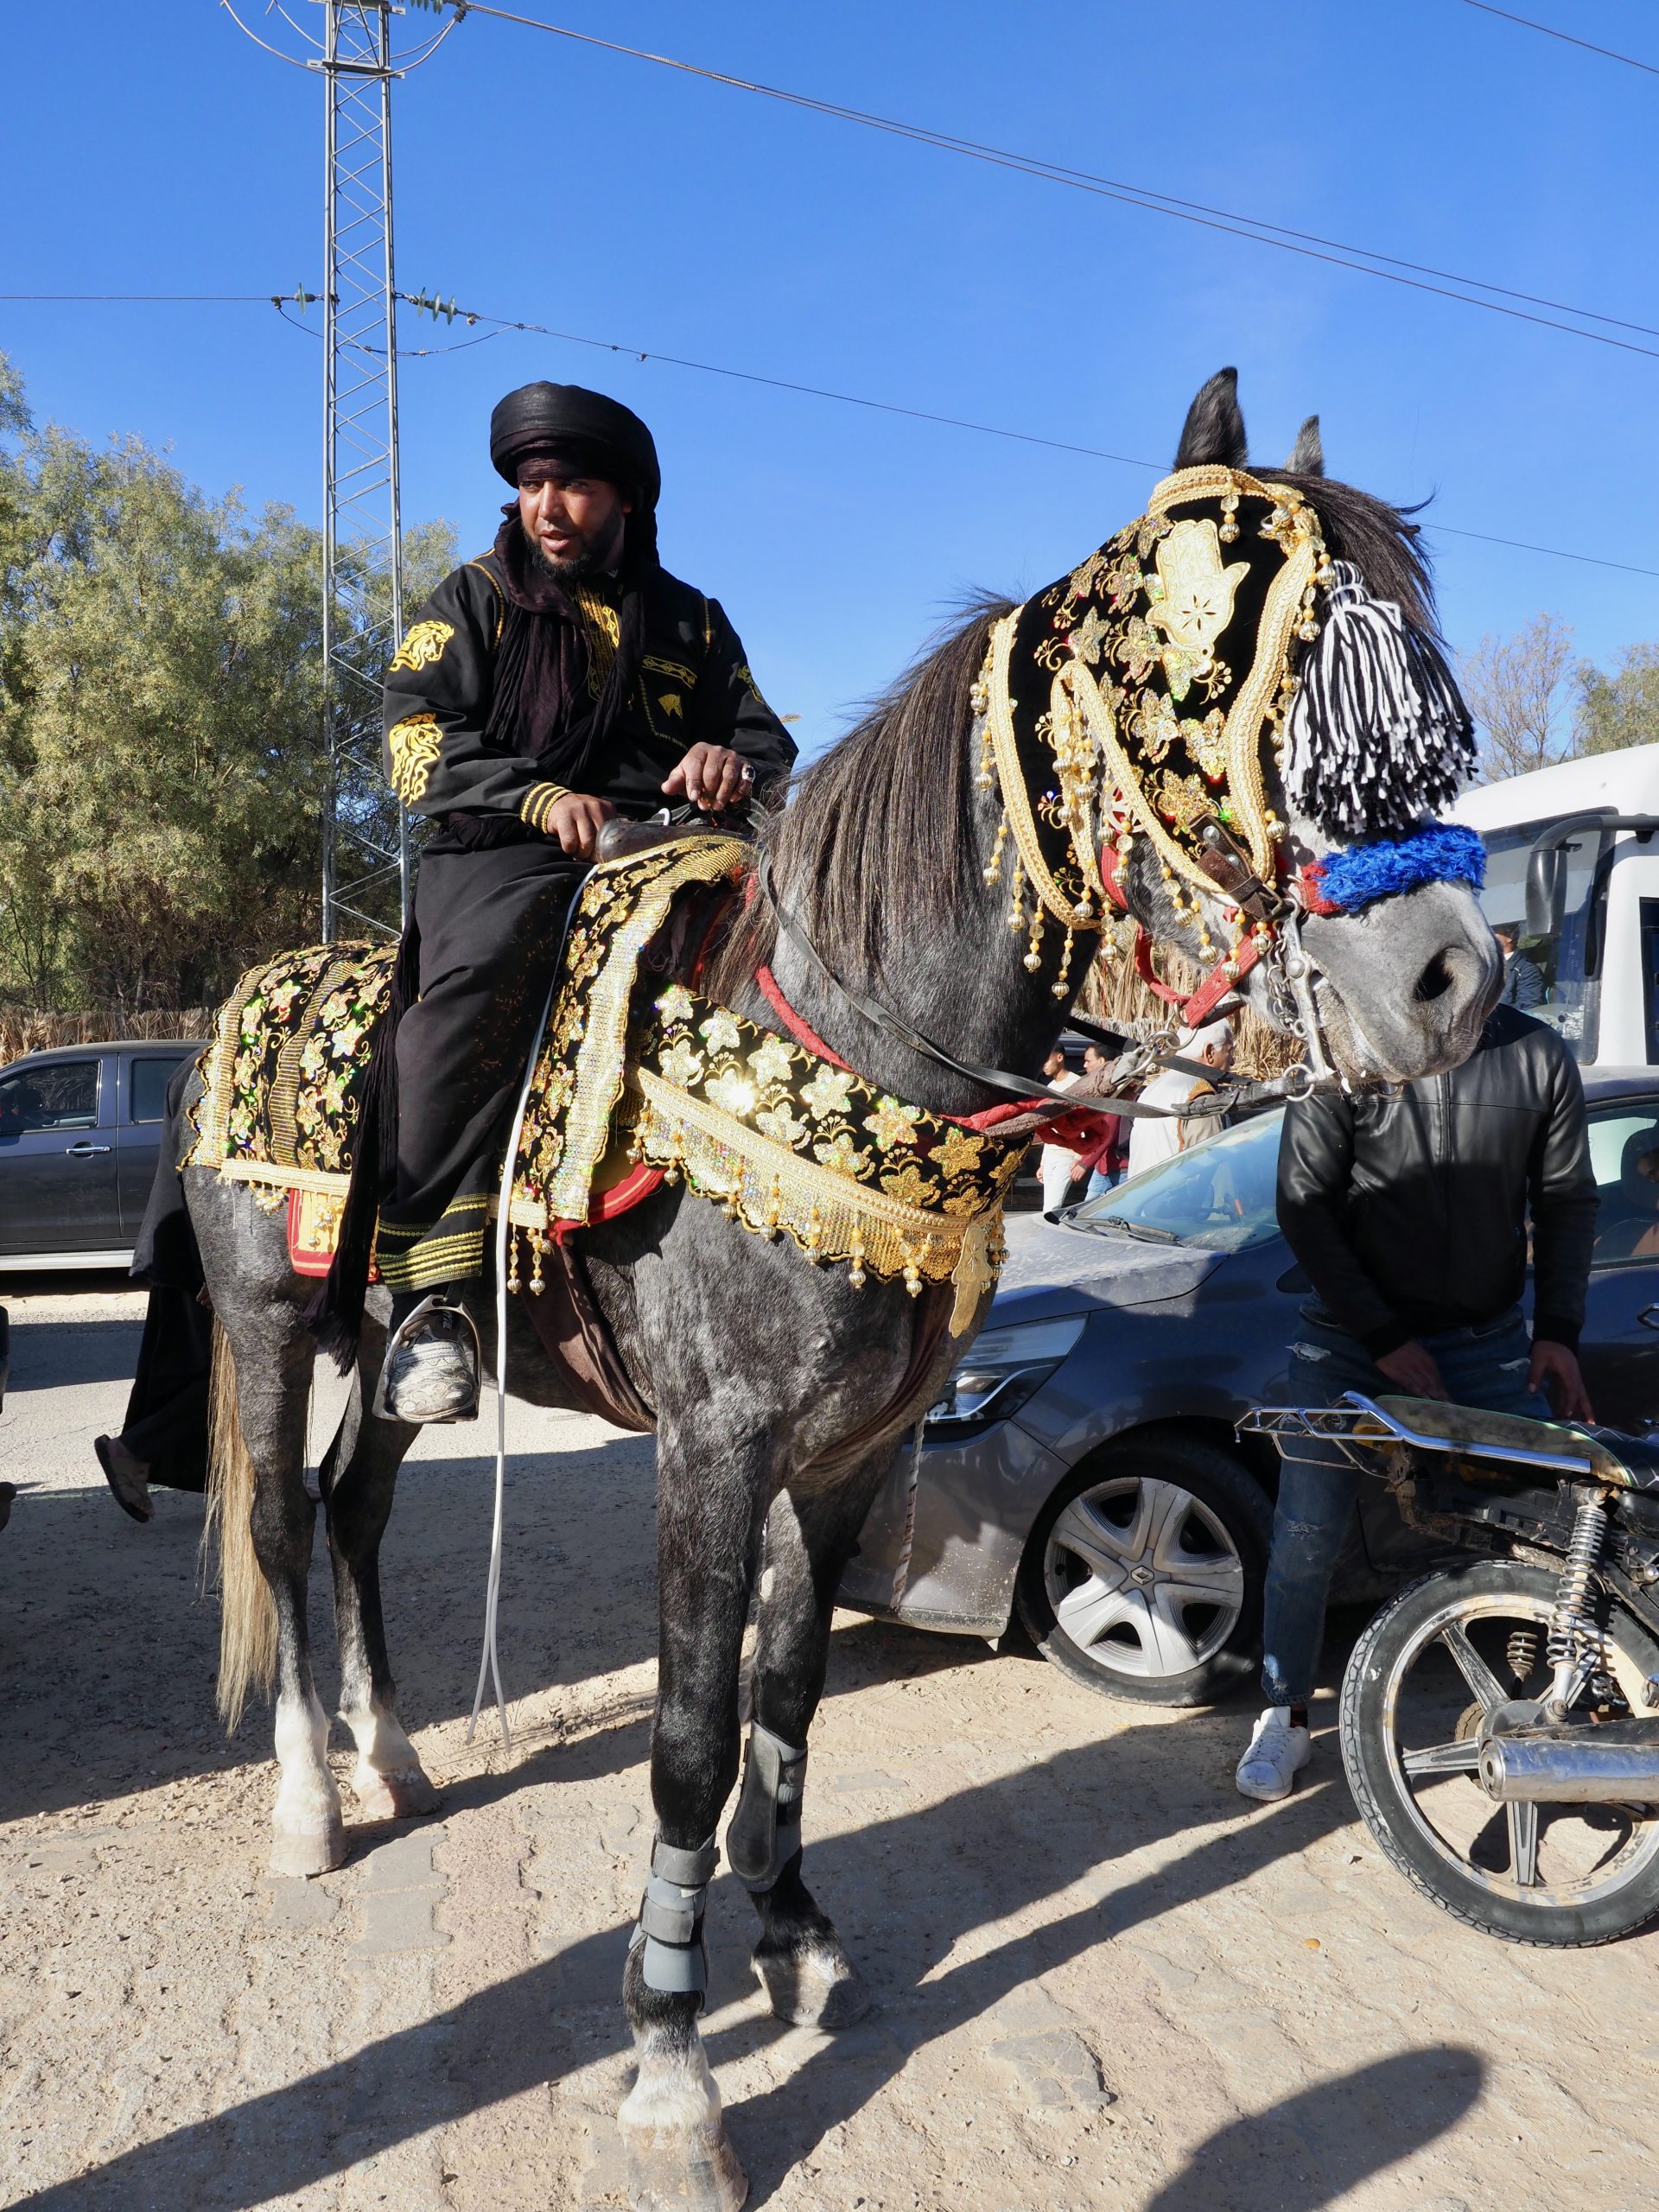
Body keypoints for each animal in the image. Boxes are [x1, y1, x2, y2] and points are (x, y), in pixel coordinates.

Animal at [184, 372, 1503, 2202]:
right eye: (1217, 661)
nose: (1450, 978)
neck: (853, 1041)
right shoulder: (715, 1452)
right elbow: (686, 1734)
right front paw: (673, 2063)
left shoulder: (851, 1454)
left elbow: (791, 1697)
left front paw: (796, 1941)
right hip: (269, 1324)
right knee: (277, 1525)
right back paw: (311, 1803)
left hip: (390, 1346)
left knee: (354, 1506)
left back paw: (395, 1758)